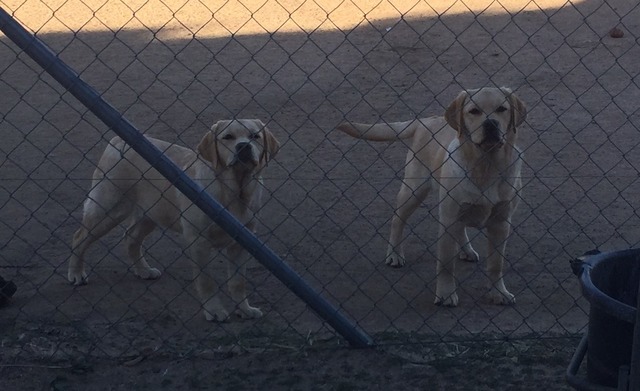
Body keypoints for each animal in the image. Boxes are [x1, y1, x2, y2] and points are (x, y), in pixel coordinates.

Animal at [67, 118, 280, 322]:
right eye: (228, 137)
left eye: (255, 136)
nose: (243, 146)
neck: (235, 191)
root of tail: (118, 141)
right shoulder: (198, 241)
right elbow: (206, 281)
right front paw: (214, 311)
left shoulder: (243, 243)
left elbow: (238, 282)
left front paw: (245, 309)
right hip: (108, 209)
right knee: (79, 237)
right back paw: (76, 274)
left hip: (151, 213)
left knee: (130, 237)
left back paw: (143, 270)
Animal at [338, 87, 528, 308]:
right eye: (474, 111)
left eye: (501, 109)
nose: (490, 124)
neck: (486, 167)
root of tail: (425, 120)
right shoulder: (447, 220)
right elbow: (445, 264)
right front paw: (446, 294)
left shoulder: (501, 222)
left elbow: (496, 264)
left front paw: (499, 292)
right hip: (414, 190)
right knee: (397, 220)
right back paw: (394, 254)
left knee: (460, 228)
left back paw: (466, 250)